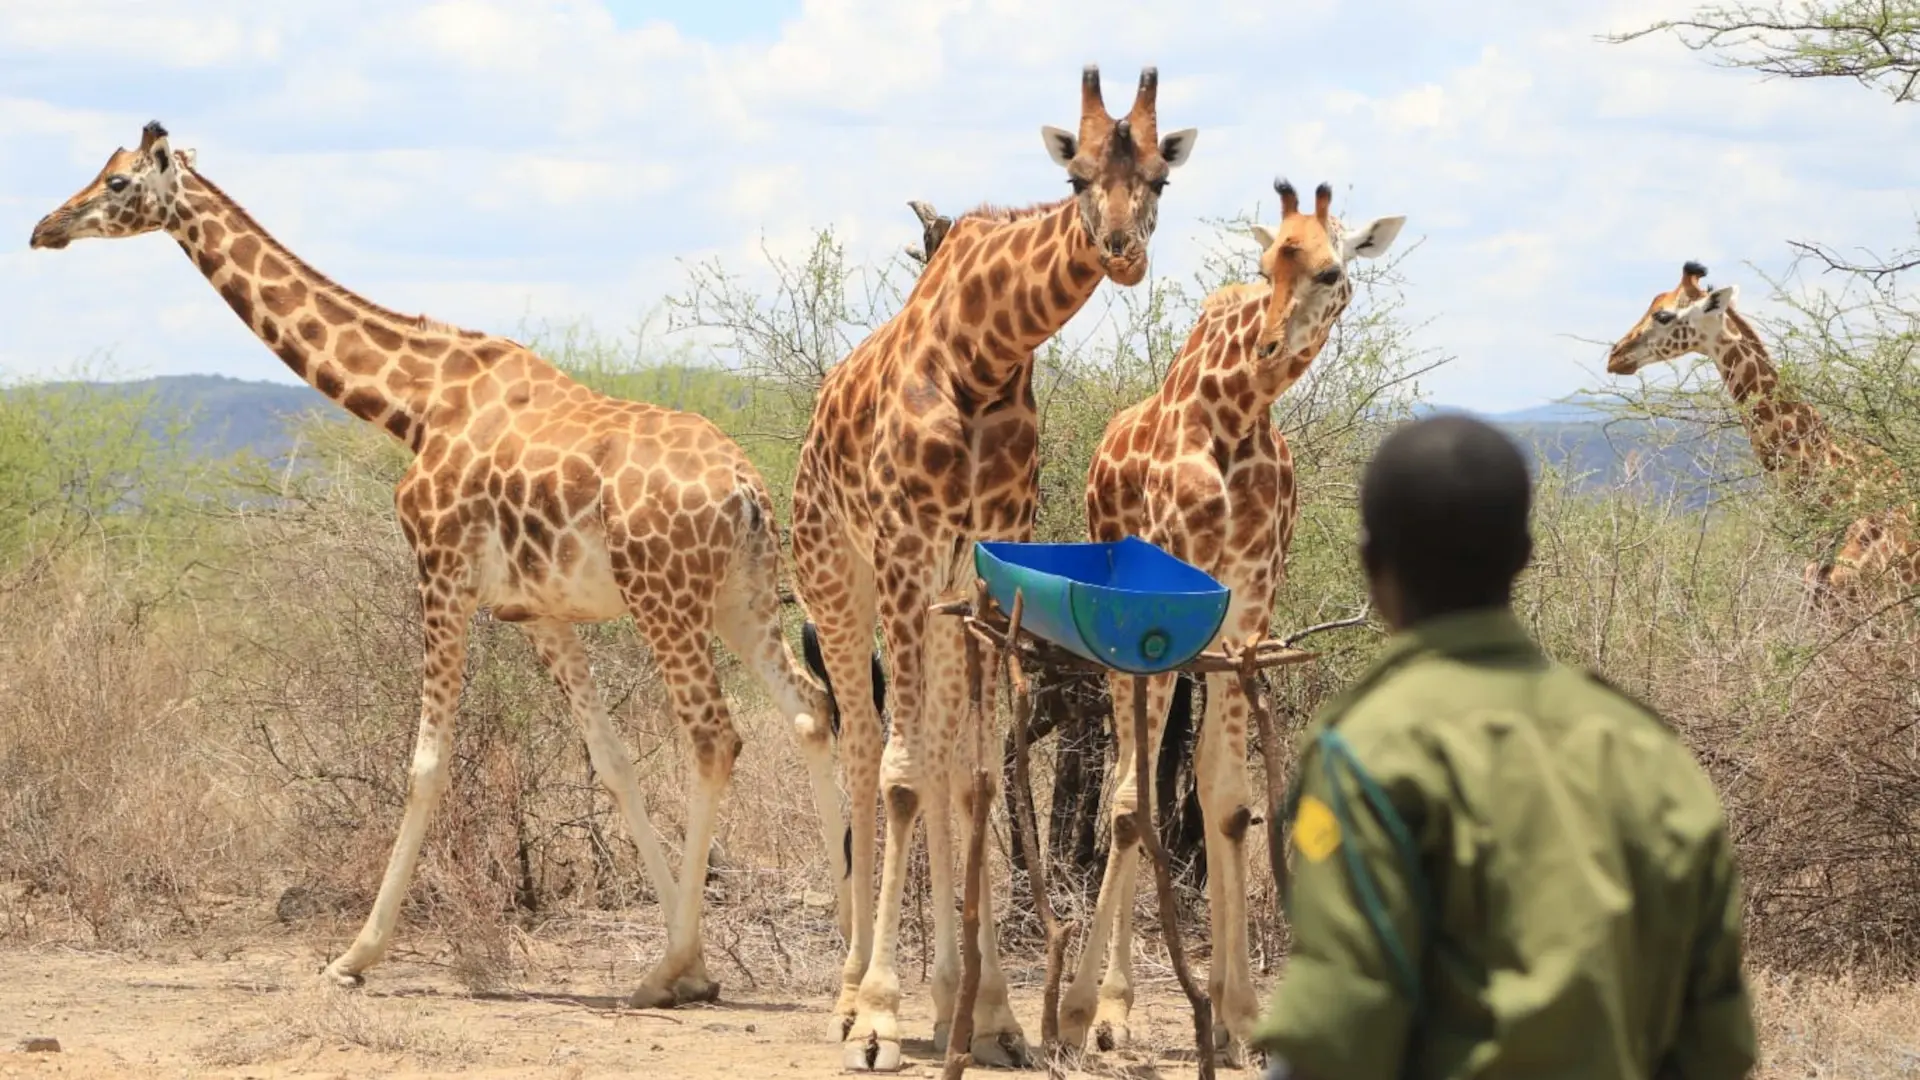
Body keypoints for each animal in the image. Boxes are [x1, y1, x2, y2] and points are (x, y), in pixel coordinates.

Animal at [28, 121, 855, 1006]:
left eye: (117, 183)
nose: (44, 227)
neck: (415, 403)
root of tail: (746, 491)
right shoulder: (539, 613)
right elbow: (613, 763)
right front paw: (694, 960)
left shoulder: (440, 572)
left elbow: (426, 762)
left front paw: (355, 956)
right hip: (743, 599)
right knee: (811, 710)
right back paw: (845, 947)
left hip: (665, 601)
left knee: (714, 739)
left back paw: (673, 974)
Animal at [788, 65, 1197, 1072]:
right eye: (1078, 174)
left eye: (1159, 180)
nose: (1122, 251)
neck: (985, 354)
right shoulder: (902, 544)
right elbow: (900, 774)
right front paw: (881, 1018)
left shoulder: (977, 557)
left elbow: (969, 777)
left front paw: (997, 1016)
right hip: (839, 580)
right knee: (866, 748)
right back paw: (848, 998)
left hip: (930, 596)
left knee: (935, 757)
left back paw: (948, 1003)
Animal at [1071, 178, 1405, 1060]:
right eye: (1264, 266)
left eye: (1331, 270)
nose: (1266, 344)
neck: (1237, 414)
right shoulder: (1160, 596)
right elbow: (1136, 799)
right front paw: (1095, 1009)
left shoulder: (1250, 607)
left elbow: (1226, 799)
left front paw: (1243, 1015)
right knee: (1126, 786)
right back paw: (1100, 1005)